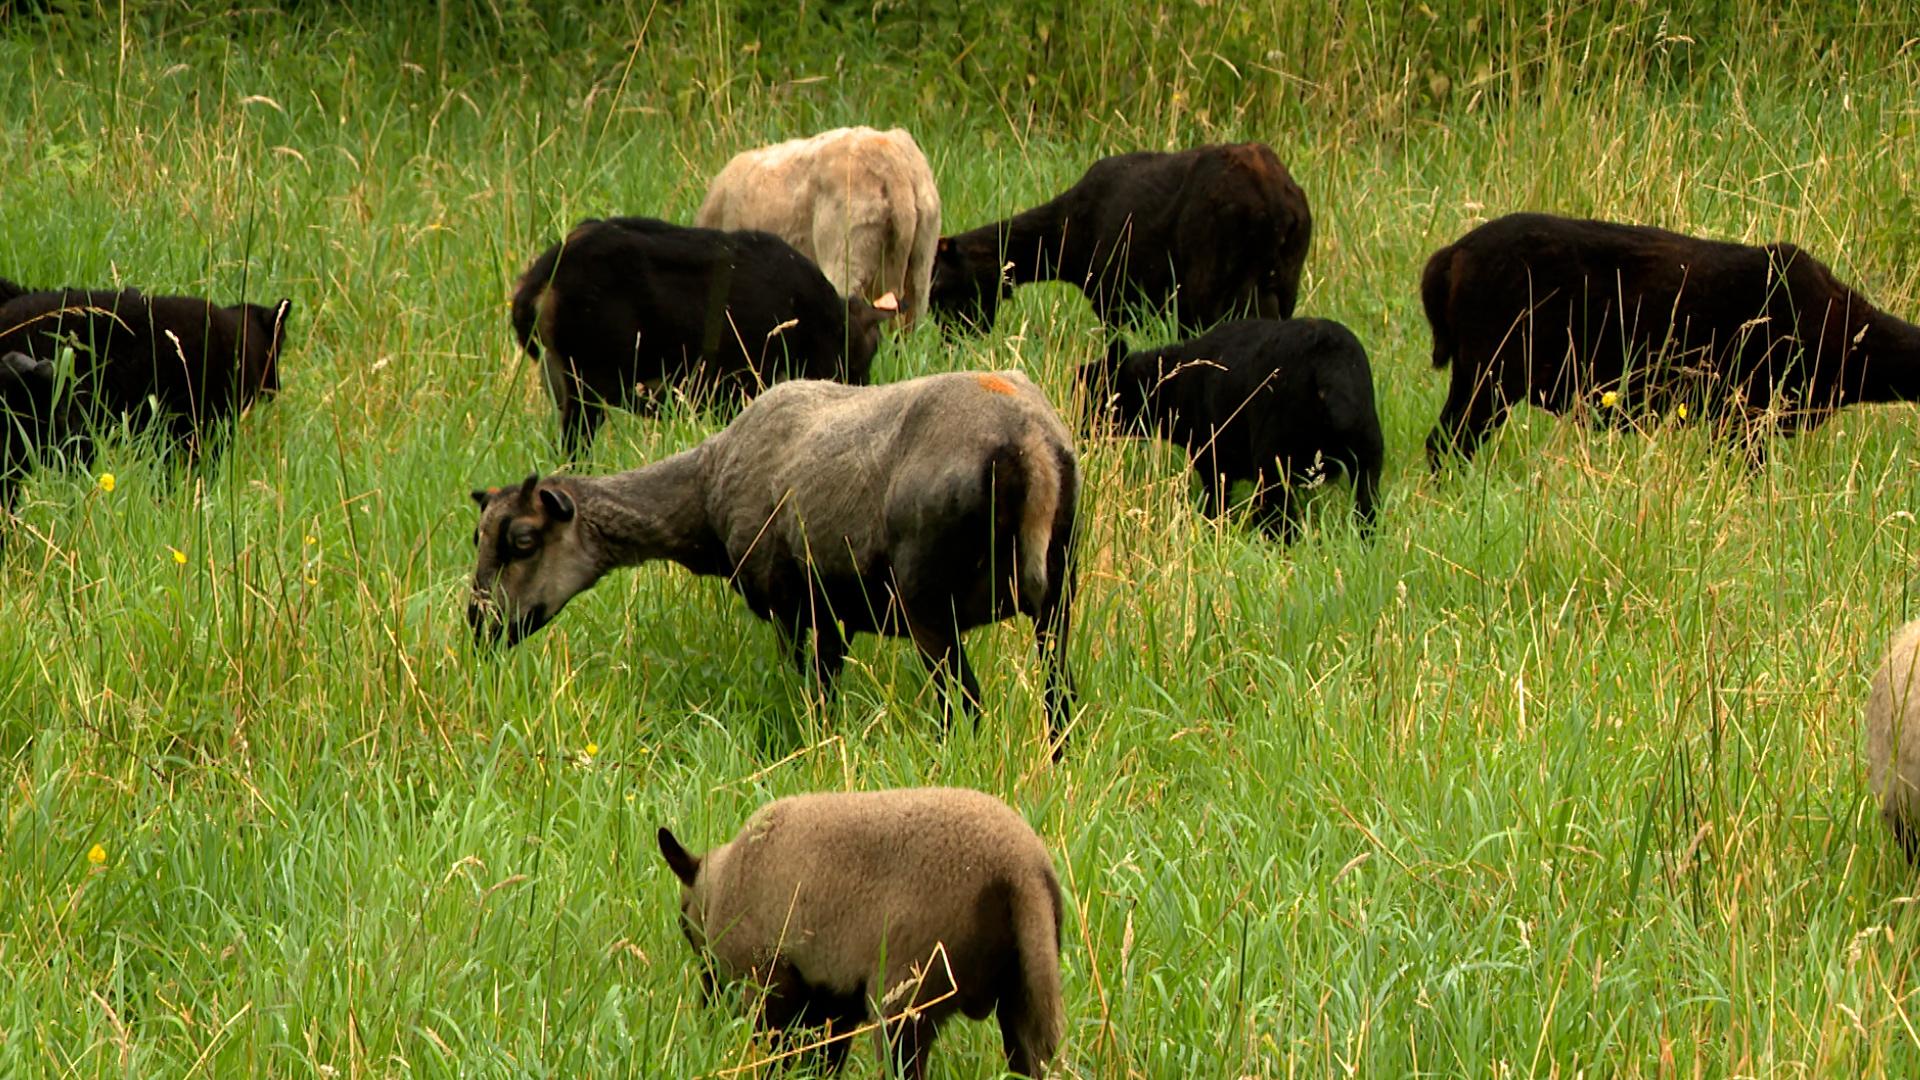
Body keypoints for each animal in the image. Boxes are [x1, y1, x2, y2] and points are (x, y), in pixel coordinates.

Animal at [467, 369, 1079, 742]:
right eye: (477, 537)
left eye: (523, 540)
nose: (478, 624)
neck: (704, 492)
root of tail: (1028, 440)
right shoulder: (834, 613)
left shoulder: (791, 605)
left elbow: (811, 691)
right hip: (1056, 593)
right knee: (1061, 699)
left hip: (928, 601)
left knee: (965, 705)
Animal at [656, 786, 1065, 1078]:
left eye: (682, 923)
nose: (706, 1008)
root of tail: (1021, 870)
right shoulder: (831, 1004)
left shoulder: (768, 989)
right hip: (1026, 994)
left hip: (906, 1002)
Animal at [929, 143, 1311, 334]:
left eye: (943, 289)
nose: (952, 344)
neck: (1060, 233)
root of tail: (1278, 203)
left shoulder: (1114, 299)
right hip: (1281, 285)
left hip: (1217, 289)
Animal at [1081, 318, 1383, 541]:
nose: (1077, 431)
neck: (1171, 388)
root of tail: (1330, 364)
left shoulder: (1212, 461)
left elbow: (1215, 508)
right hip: (1367, 455)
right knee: (1367, 511)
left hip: (1274, 460)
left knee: (1279, 522)